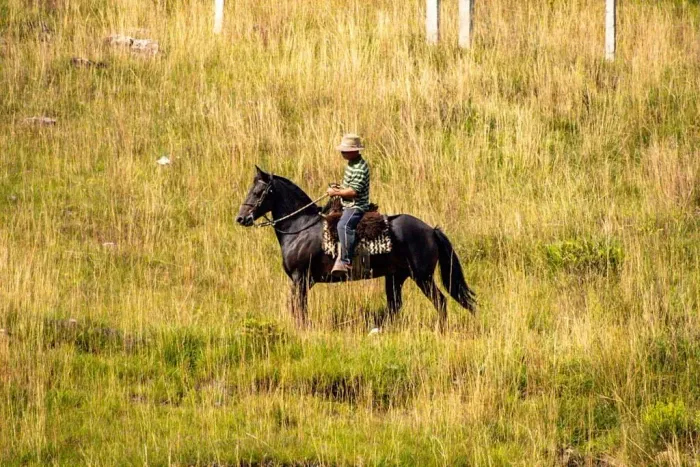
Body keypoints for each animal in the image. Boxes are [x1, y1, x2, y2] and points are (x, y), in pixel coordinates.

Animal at [236, 167, 476, 329]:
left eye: (258, 192)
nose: (241, 218)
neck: (300, 227)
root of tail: (431, 230)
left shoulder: (300, 277)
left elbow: (299, 308)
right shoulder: (302, 280)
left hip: (422, 276)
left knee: (440, 301)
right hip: (396, 276)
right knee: (395, 306)